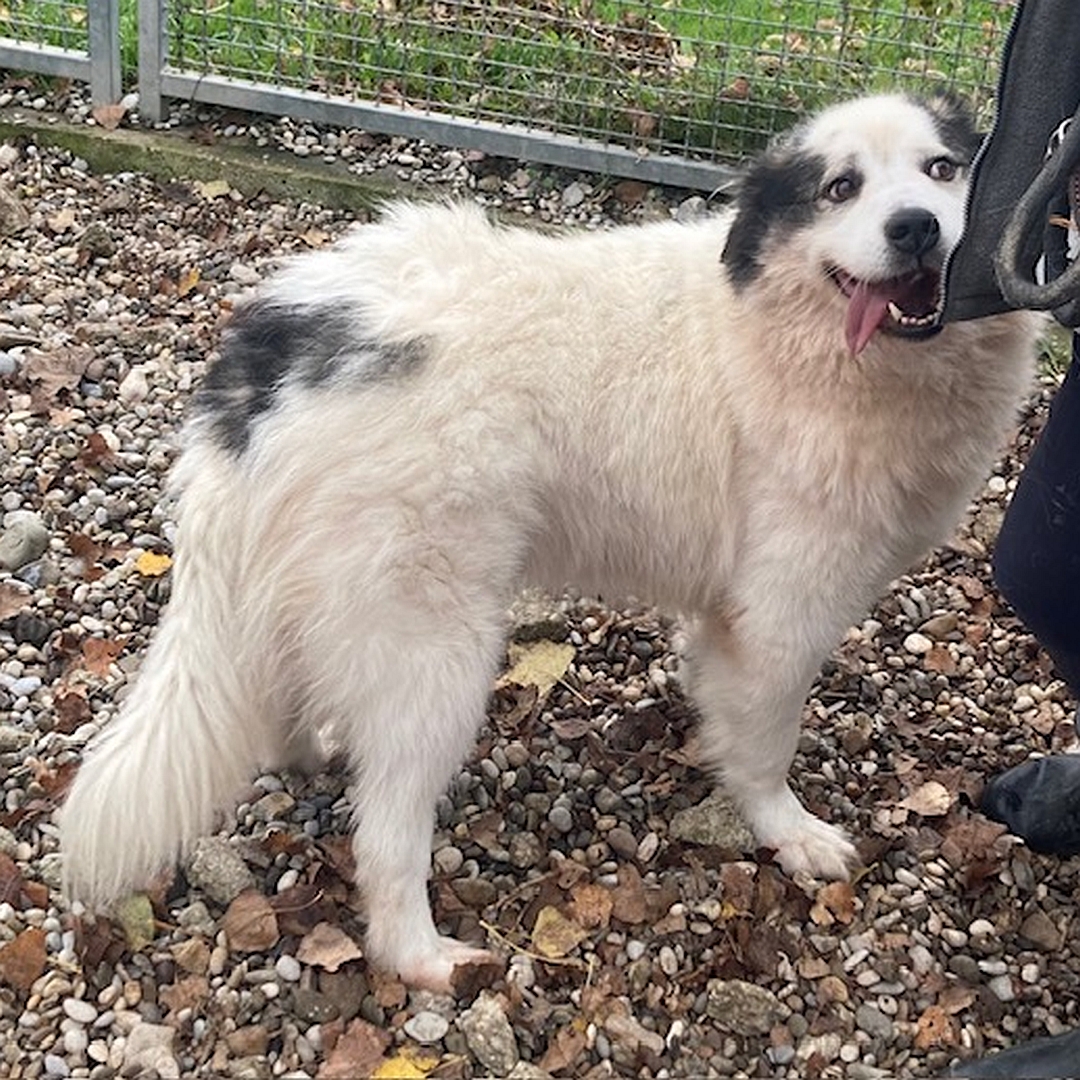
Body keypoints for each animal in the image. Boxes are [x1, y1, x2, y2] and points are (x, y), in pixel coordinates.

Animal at [59, 97, 1036, 989]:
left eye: (943, 170)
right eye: (841, 188)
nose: (915, 228)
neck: (783, 333)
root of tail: (270, 355)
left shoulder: (724, 609)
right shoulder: (779, 616)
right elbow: (764, 745)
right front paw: (789, 833)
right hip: (436, 646)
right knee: (386, 837)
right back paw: (425, 959)